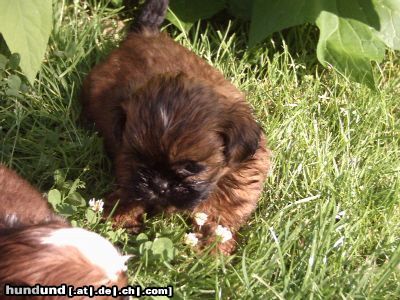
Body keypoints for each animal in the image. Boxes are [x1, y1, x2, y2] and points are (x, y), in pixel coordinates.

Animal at [82, 0, 272, 253]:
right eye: (140, 157)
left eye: (191, 167)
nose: (159, 185)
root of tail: (144, 34)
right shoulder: (128, 166)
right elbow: (130, 189)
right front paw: (120, 218)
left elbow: (219, 220)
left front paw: (213, 251)